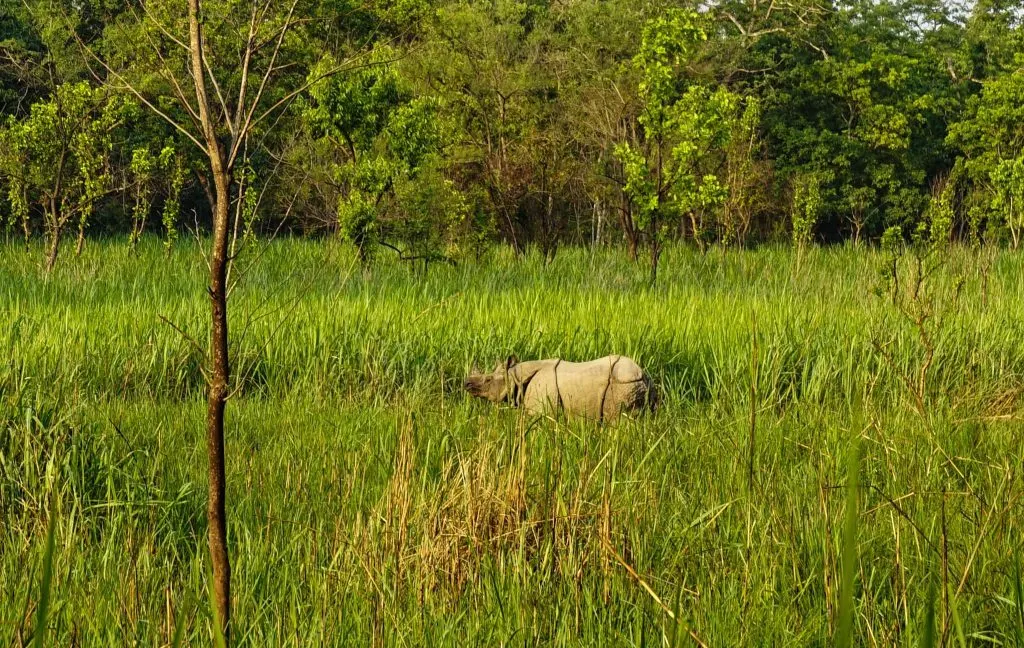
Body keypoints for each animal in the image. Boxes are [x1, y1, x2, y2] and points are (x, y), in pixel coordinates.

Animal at [464, 354, 655, 419]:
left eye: (488, 380)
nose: (466, 383)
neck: (515, 377)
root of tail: (641, 374)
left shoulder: (542, 410)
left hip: (622, 386)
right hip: (643, 385)